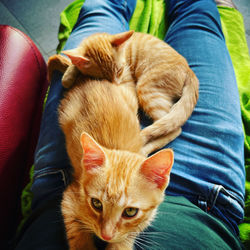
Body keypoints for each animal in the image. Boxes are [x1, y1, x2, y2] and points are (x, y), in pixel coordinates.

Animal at [48, 58, 174, 248]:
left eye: (130, 211)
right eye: (96, 203)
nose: (105, 235)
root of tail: (89, 79)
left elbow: (126, 238)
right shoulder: (69, 200)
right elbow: (79, 239)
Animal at [61, 30, 199, 149]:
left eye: (119, 71)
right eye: (102, 78)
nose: (115, 85)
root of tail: (189, 69)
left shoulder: (128, 81)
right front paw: (68, 75)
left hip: (147, 89)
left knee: (173, 129)